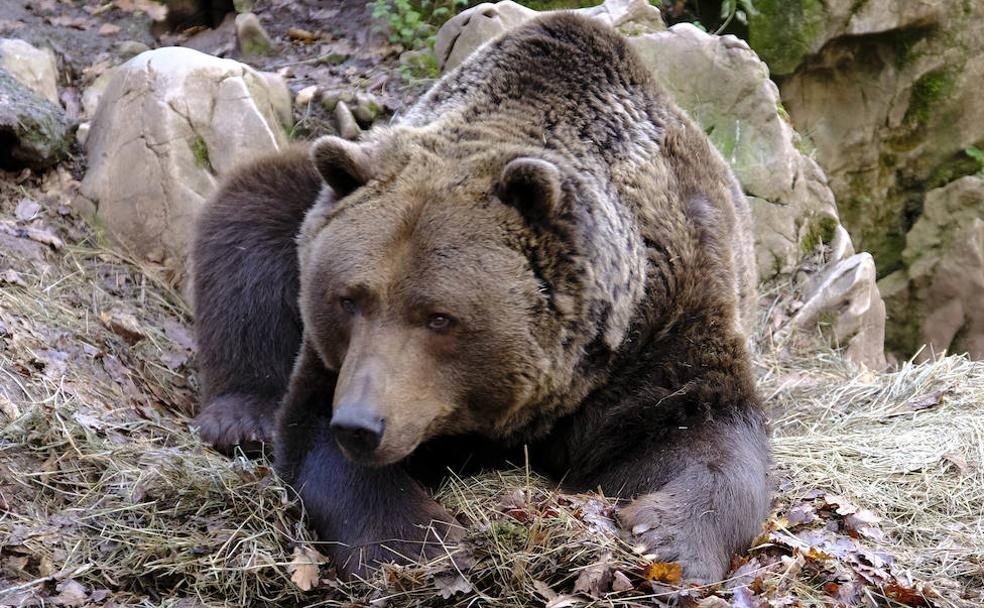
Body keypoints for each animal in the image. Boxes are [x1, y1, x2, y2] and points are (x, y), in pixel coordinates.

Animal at [191, 12, 770, 583]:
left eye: (438, 317)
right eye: (349, 299)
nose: (360, 424)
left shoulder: (666, 325)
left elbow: (702, 429)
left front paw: (667, 537)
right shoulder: (340, 367)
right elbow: (314, 437)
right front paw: (422, 549)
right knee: (251, 214)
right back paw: (241, 420)